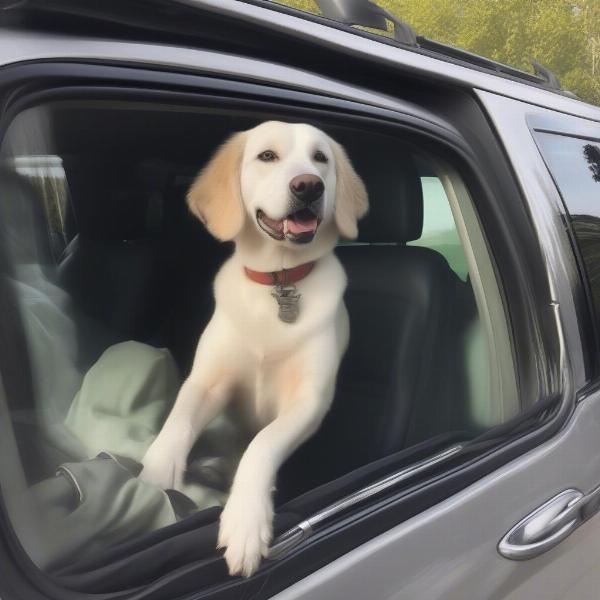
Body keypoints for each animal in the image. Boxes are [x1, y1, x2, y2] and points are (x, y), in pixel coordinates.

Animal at [141, 119, 368, 576]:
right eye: (267, 156)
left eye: (321, 158)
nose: (309, 186)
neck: (279, 282)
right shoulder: (207, 381)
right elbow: (179, 420)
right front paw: (154, 477)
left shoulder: (309, 401)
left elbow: (262, 445)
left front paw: (245, 521)